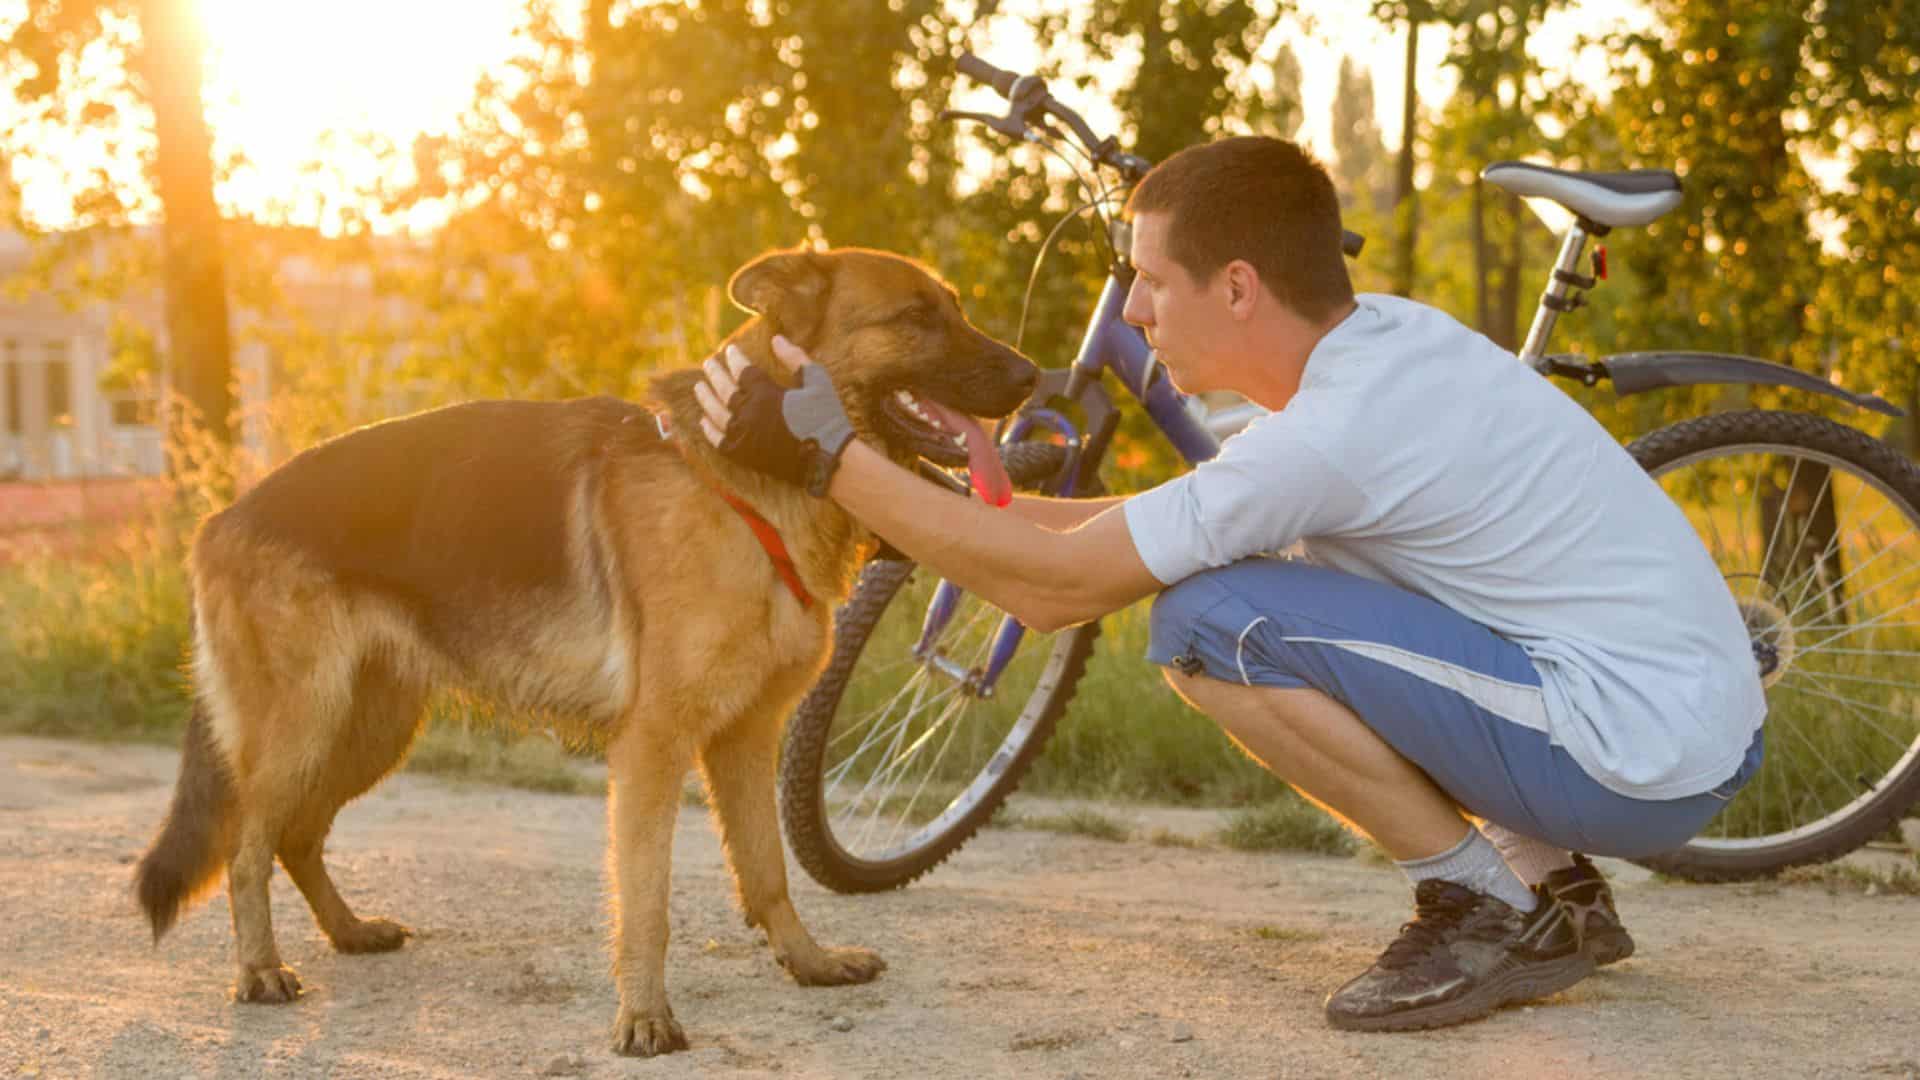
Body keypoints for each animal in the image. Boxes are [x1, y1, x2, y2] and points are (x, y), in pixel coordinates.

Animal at [135, 244, 1044, 1053]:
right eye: (916, 318)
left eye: (954, 309)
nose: (1035, 377)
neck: (743, 480)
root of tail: (222, 515)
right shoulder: (653, 749)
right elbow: (647, 902)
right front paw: (644, 1019)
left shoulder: (746, 739)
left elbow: (768, 871)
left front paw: (808, 962)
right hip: (304, 727)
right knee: (248, 847)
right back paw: (259, 970)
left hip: (370, 729)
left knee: (295, 837)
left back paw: (350, 932)